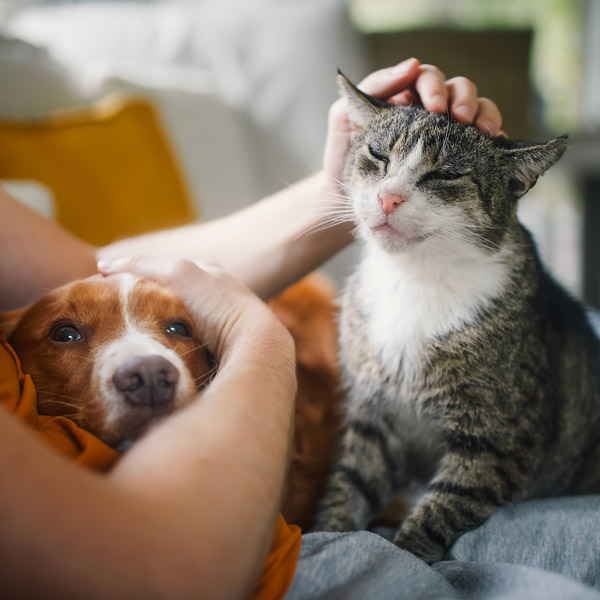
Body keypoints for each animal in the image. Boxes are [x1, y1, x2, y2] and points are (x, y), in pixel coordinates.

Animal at [312, 74, 600, 564]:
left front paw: (405, 553)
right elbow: (348, 488)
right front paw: (325, 539)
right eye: (377, 155)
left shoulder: (495, 442)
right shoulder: (373, 423)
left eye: (445, 174)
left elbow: (439, 511)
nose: (388, 198)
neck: (415, 280)